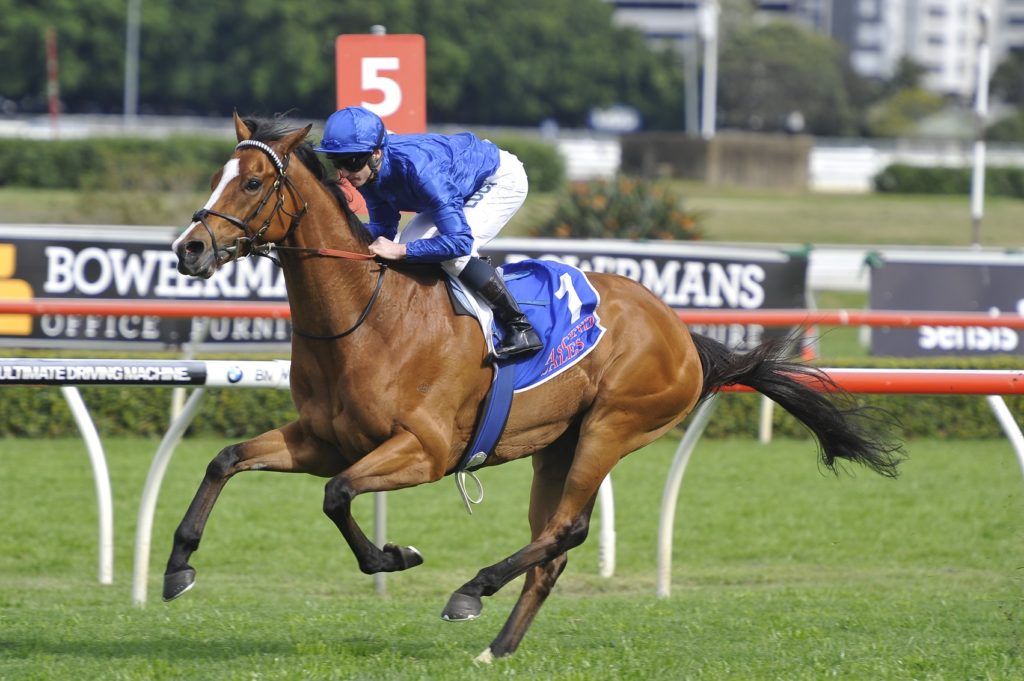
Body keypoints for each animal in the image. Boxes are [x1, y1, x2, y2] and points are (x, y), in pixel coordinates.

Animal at [167, 112, 902, 662]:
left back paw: (471, 590)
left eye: (253, 182)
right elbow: (226, 460)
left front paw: (397, 555)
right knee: (552, 544)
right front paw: (179, 568)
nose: (189, 248)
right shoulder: (323, 439)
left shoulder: (424, 450)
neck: (366, 316)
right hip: (557, 444)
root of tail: (681, 333)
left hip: (613, 426)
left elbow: (338, 494)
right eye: (218, 174)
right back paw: (498, 644)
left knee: (568, 529)